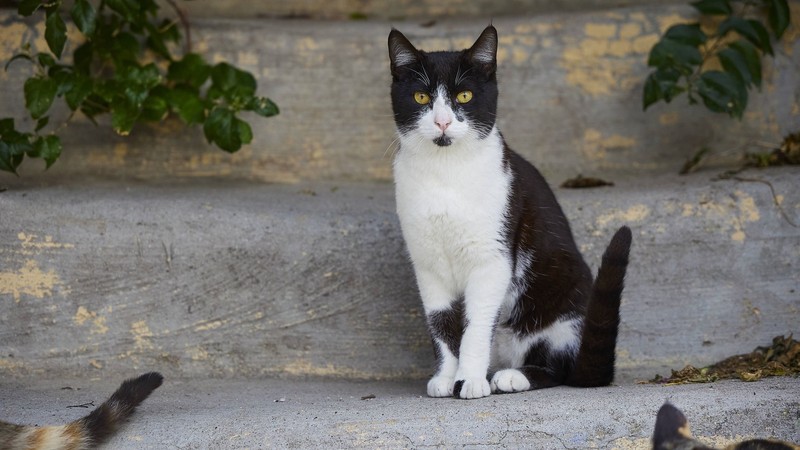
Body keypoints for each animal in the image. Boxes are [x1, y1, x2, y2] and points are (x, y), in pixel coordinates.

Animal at [388, 25, 632, 398]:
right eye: (420, 98)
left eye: (464, 96)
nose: (442, 122)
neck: (445, 173)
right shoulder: (428, 264)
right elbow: (442, 324)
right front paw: (446, 377)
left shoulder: (493, 257)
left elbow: (475, 325)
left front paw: (469, 380)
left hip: (563, 304)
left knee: (561, 367)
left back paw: (512, 377)